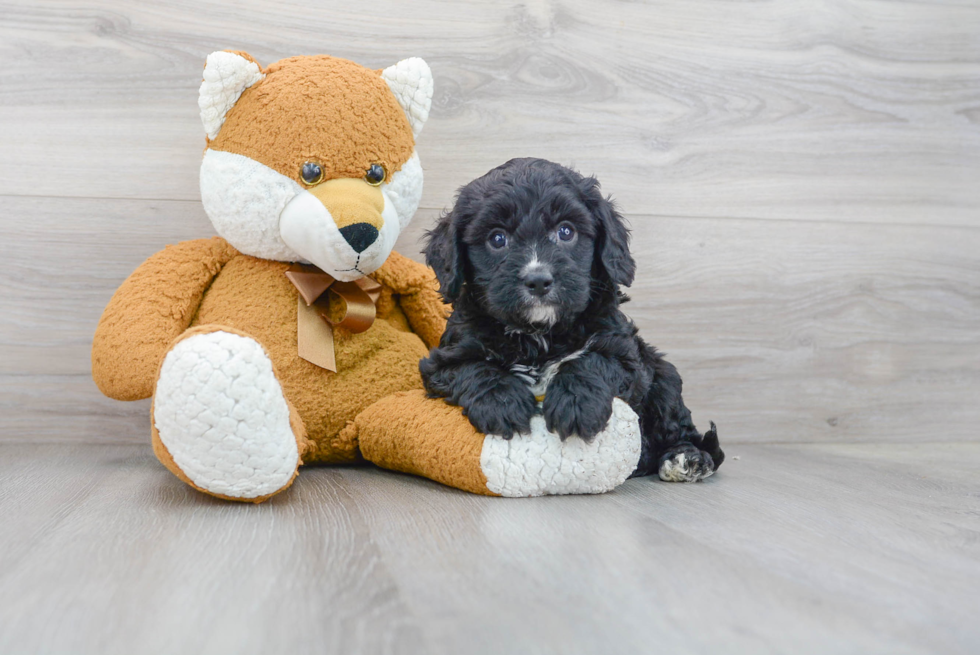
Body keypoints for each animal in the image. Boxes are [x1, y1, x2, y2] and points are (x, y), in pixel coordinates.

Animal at [420, 159, 720, 482]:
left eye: (566, 232)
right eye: (497, 238)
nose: (538, 280)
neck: (538, 334)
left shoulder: (627, 357)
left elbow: (594, 360)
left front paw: (576, 402)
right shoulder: (443, 360)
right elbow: (472, 367)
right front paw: (501, 402)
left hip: (664, 377)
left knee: (681, 425)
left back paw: (686, 458)